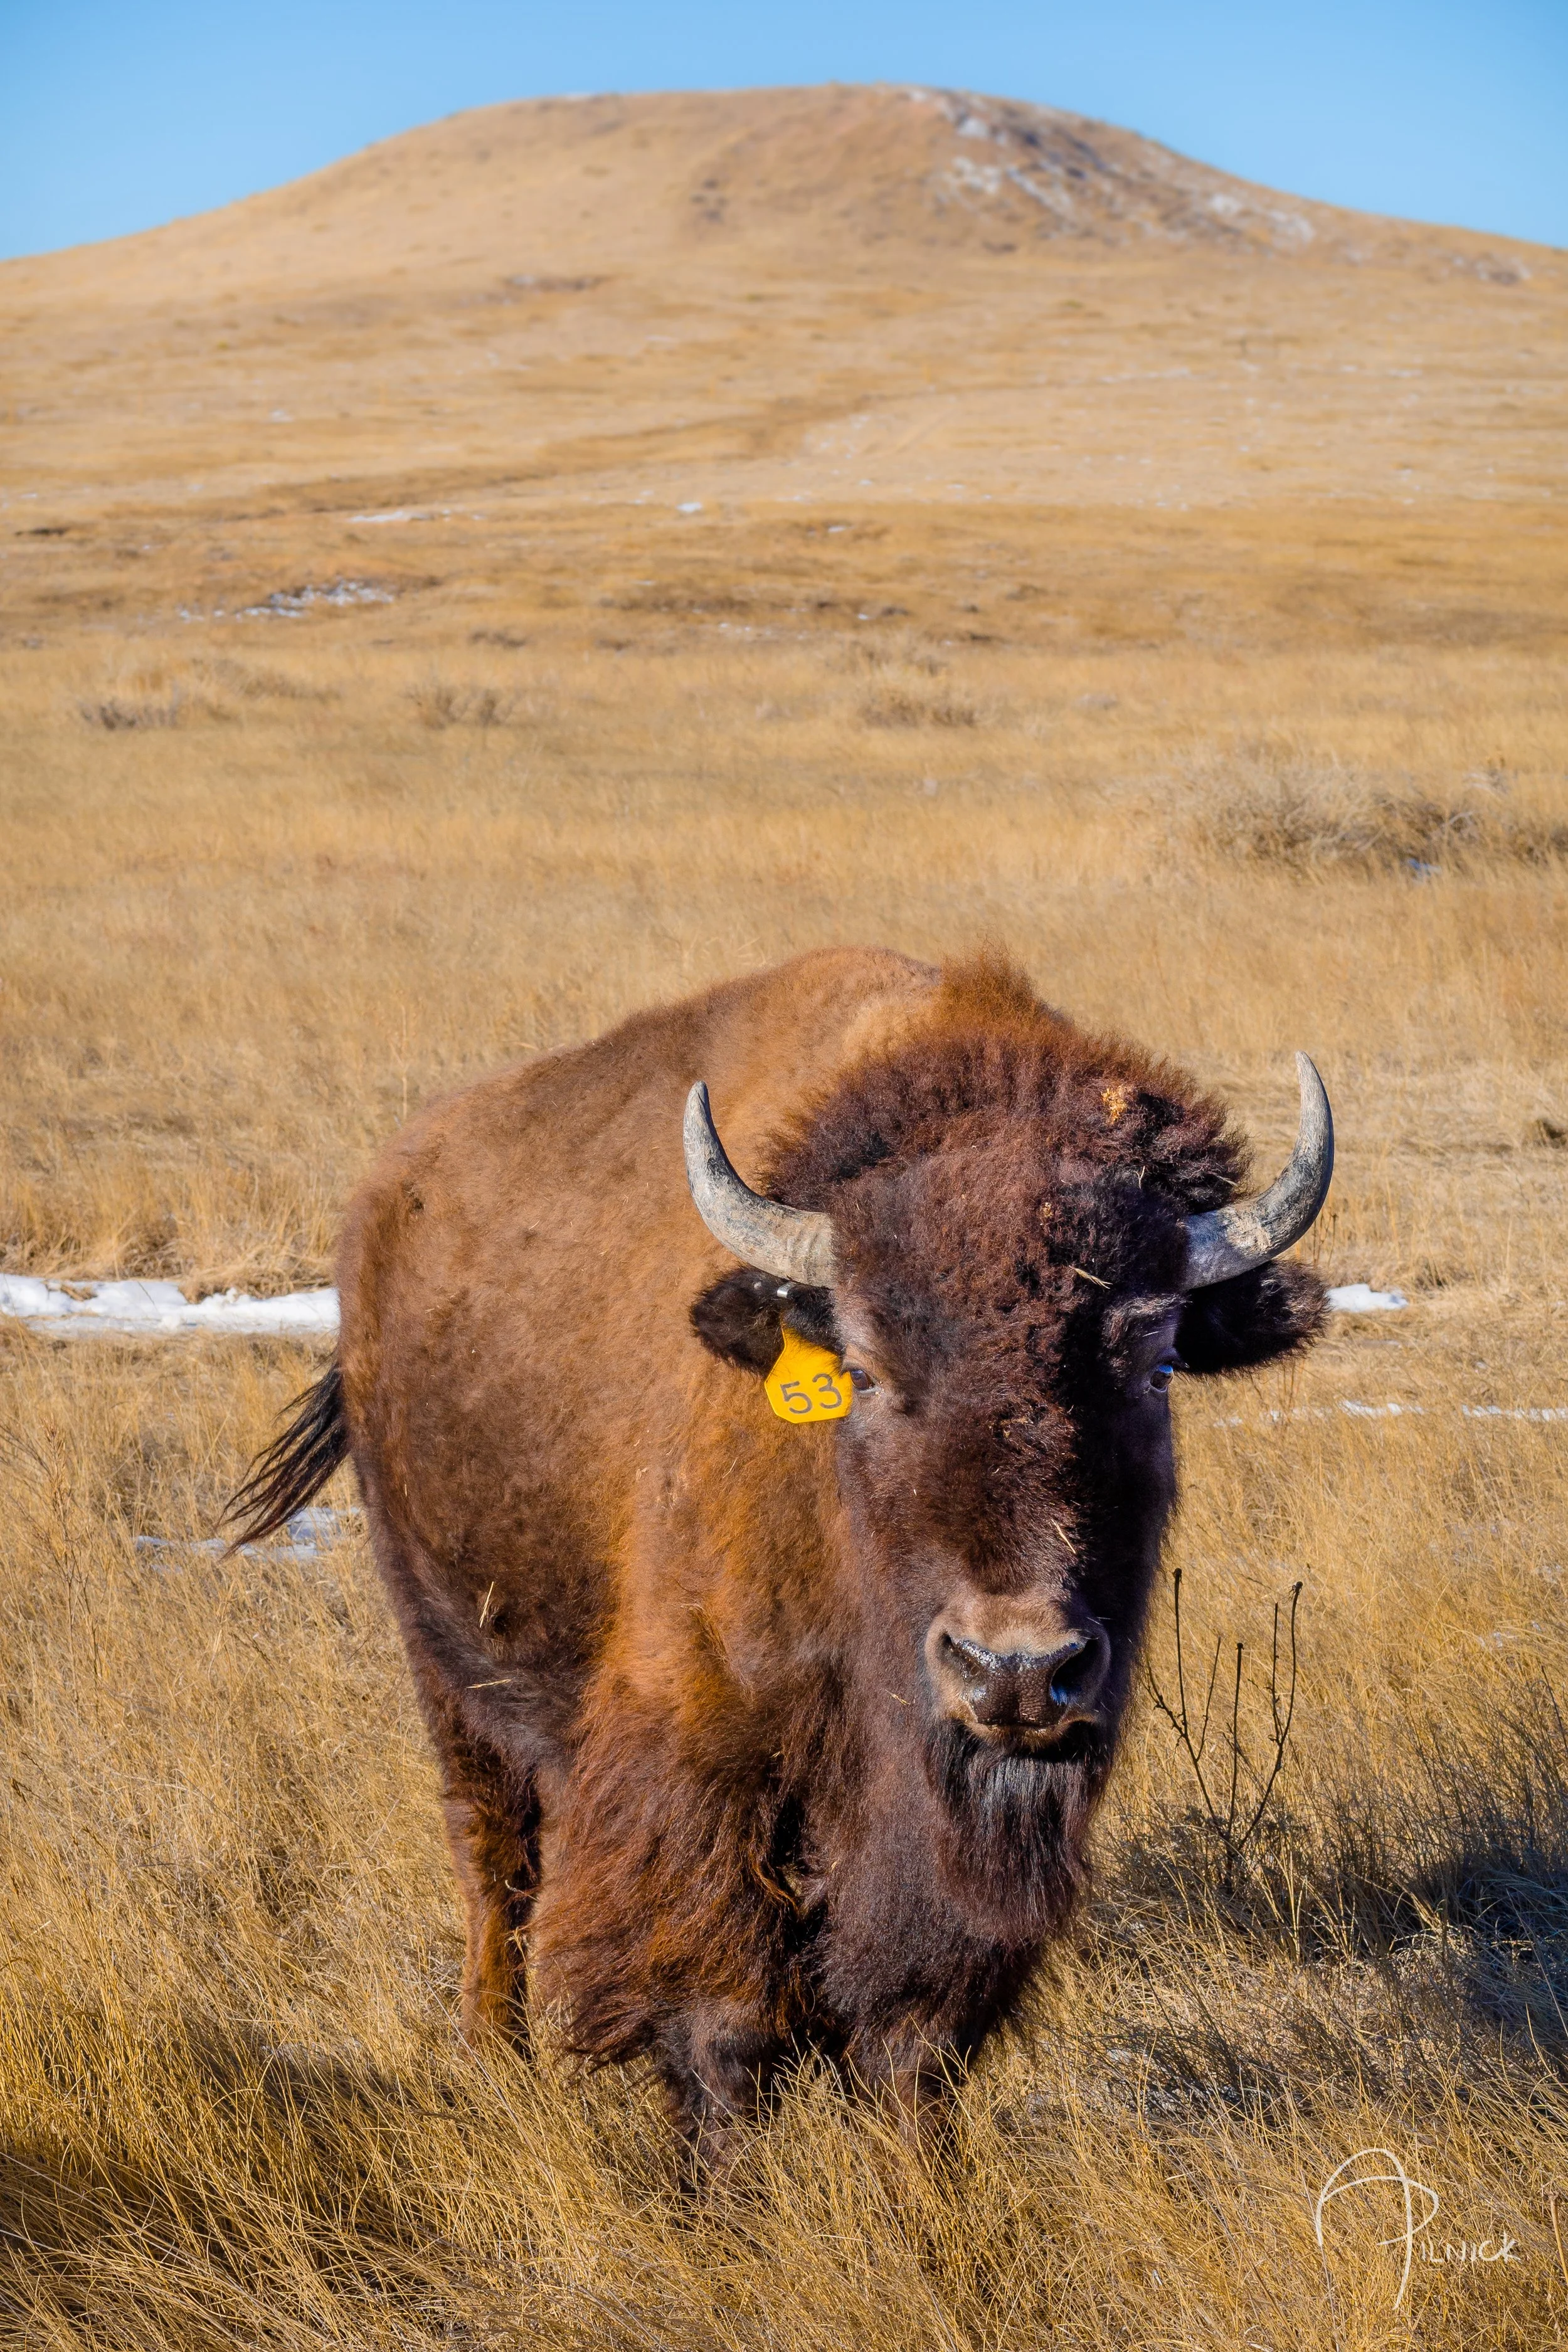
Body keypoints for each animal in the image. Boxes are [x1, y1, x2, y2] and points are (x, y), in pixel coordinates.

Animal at [231, 947, 1331, 2163]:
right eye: (866, 1364)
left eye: (1156, 1363)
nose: (1016, 1668)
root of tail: (388, 1199)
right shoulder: (702, 1759)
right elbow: (724, 2021)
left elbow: (914, 2033)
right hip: (447, 1659)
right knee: (495, 1857)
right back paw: (494, 2063)